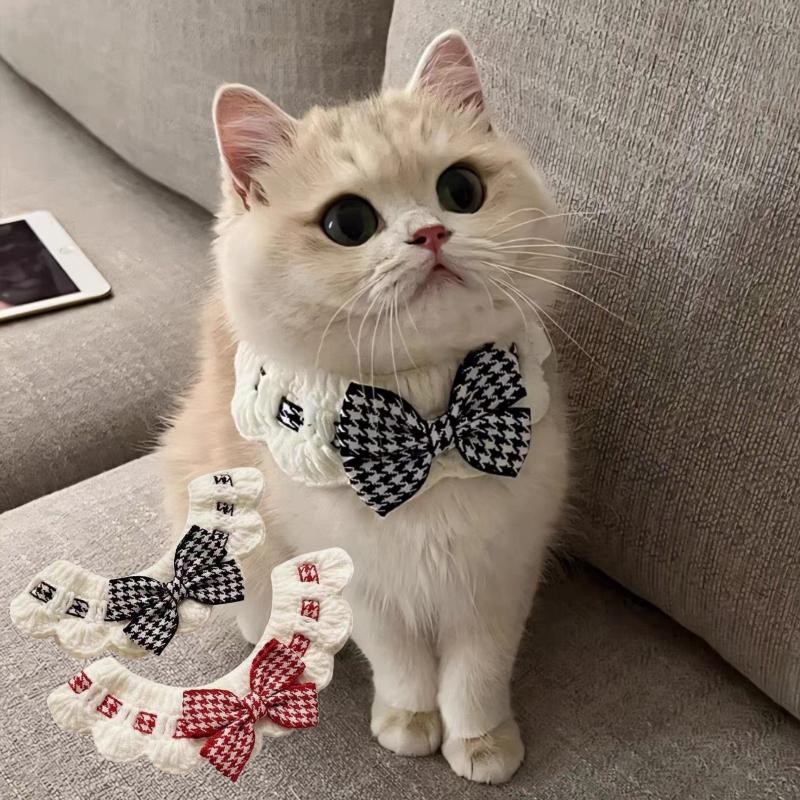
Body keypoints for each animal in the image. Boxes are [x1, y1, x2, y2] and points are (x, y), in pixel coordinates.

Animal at [162, 30, 569, 784]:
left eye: (461, 190)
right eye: (347, 222)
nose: (431, 232)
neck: (430, 423)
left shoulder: (501, 571)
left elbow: (478, 668)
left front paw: (481, 739)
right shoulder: (359, 577)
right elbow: (400, 658)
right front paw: (410, 721)